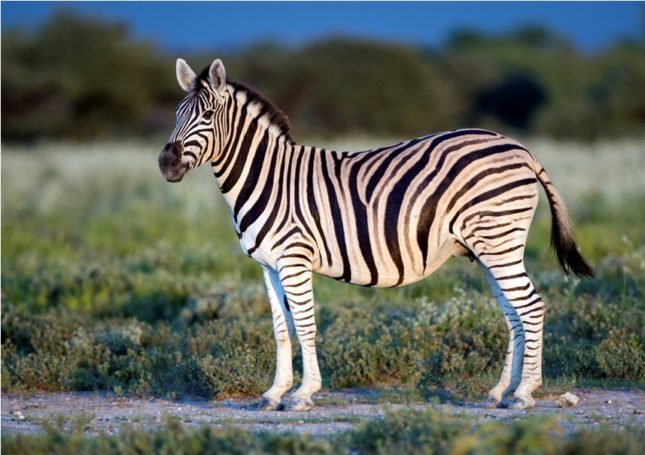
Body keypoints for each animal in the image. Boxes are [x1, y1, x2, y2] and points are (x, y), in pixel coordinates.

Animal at [158, 58, 592, 414]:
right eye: (176, 114)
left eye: (207, 114)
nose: (166, 163)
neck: (267, 177)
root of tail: (519, 147)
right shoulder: (268, 266)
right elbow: (282, 330)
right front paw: (274, 393)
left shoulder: (294, 258)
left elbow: (306, 324)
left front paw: (302, 394)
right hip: (490, 248)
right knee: (514, 314)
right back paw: (502, 391)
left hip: (499, 240)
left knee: (531, 306)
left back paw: (525, 394)